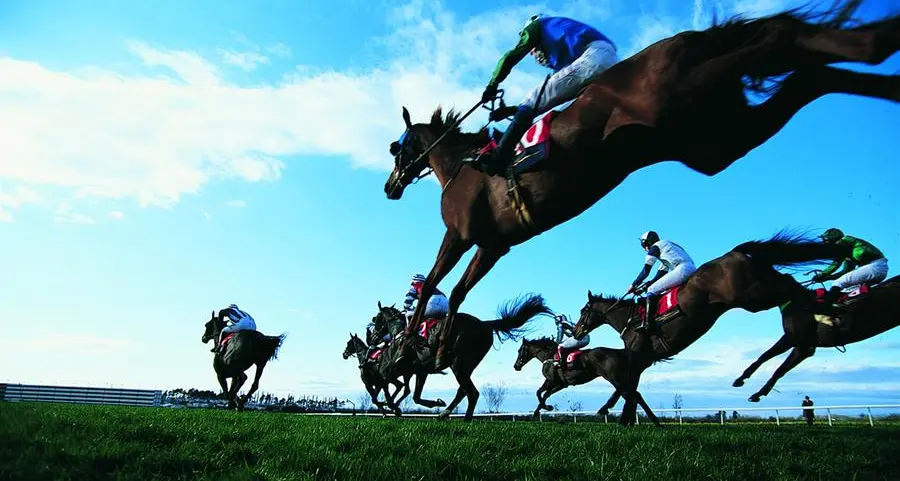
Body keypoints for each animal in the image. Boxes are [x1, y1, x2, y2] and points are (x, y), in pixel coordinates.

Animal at [376, 290, 552, 418]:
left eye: (375, 319)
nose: (373, 337)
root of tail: (486, 324)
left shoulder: (396, 369)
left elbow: (390, 384)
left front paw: (391, 406)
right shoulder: (420, 370)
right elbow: (413, 395)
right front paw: (436, 403)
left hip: (459, 364)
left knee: (472, 393)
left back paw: (465, 419)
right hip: (466, 366)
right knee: (463, 391)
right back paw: (444, 414)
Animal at [382, 0, 900, 368]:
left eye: (397, 147)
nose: (389, 187)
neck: (461, 167)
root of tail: (682, 40)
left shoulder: (461, 234)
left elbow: (433, 286)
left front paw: (408, 346)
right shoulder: (495, 244)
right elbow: (458, 292)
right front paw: (435, 348)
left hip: (688, 98)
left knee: (779, 37)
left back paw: (877, 39)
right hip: (715, 137)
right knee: (809, 74)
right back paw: (880, 60)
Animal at [510, 336, 664, 422]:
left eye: (519, 351)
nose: (516, 366)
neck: (549, 356)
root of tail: (620, 352)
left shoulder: (556, 383)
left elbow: (543, 394)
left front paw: (547, 407)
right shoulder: (555, 383)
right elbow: (541, 393)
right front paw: (539, 411)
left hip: (615, 378)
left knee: (633, 396)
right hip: (620, 379)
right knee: (635, 395)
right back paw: (653, 422)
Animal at [572, 232, 848, 424]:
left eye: (583, 311)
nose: (576, 332)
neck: (629, 320)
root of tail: (735, 253)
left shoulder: (638, 355)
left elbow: (627, 387)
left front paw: (613, 413)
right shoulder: (642, 360)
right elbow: (630, 388)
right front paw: (623, 418)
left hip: (753, 296)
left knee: (790, 287)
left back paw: (829, 308)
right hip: (760, 288)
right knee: (790, 283)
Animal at [732, 274, 900, 402]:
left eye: (753, 283)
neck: (798, 303)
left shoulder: (795, 340)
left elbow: (772, 362)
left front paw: (750, 386)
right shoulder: (803, 347)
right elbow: (772, 363)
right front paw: (749, 385)